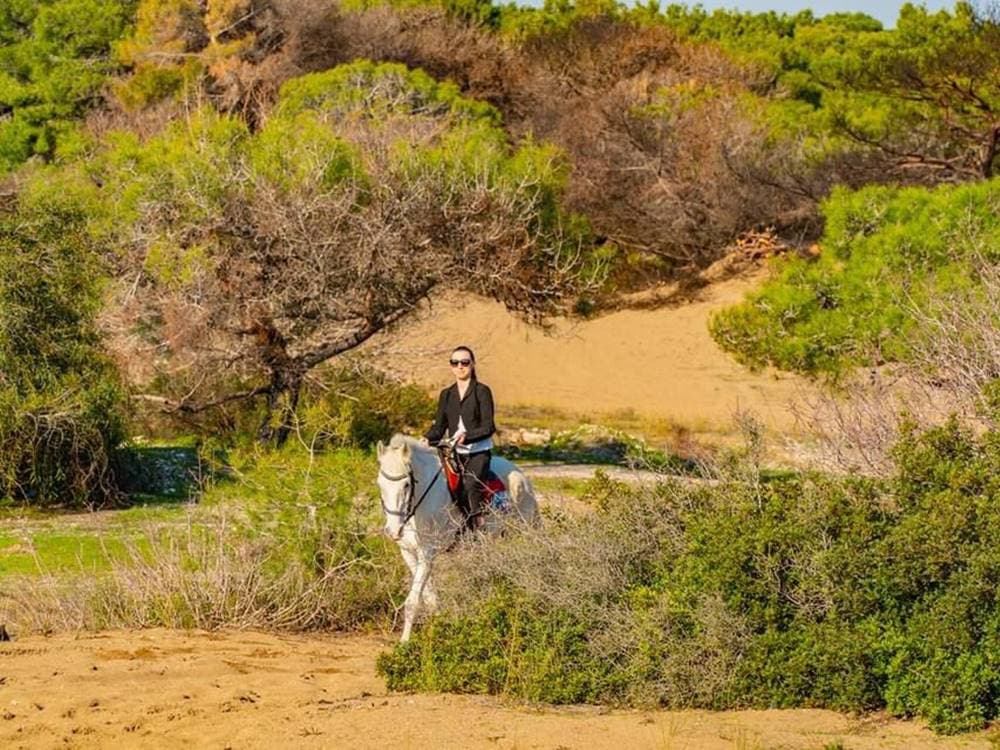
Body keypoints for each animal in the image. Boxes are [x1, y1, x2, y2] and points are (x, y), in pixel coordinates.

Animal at [375, 433, 539, 641]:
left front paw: (404, 642)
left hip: (524, 532)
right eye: (380, 484)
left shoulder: (428, 553)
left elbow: (413, 601)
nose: (393, 530)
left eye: (406, 485)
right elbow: (429, 597)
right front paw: (440, 623)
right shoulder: (408, 552)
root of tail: (521, 475)